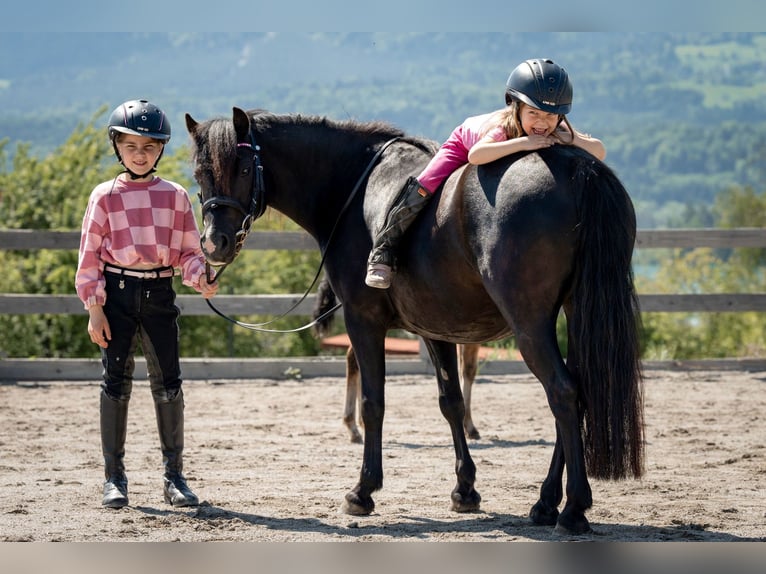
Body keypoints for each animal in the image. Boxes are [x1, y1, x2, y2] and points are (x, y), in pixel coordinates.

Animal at [188, 108, 648, 536]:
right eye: (198, 172)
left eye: (243, 168)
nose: (214, 244)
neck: (352, 186)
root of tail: (577, 168)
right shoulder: (438, 328)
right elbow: (451, 402)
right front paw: (465, 489)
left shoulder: (363, 319)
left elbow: (373, 403)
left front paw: (363, 491)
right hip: (572, 315)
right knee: (576, 392)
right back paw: (546, 502)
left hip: (530, 326)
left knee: (564, 393)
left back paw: (572, 509)